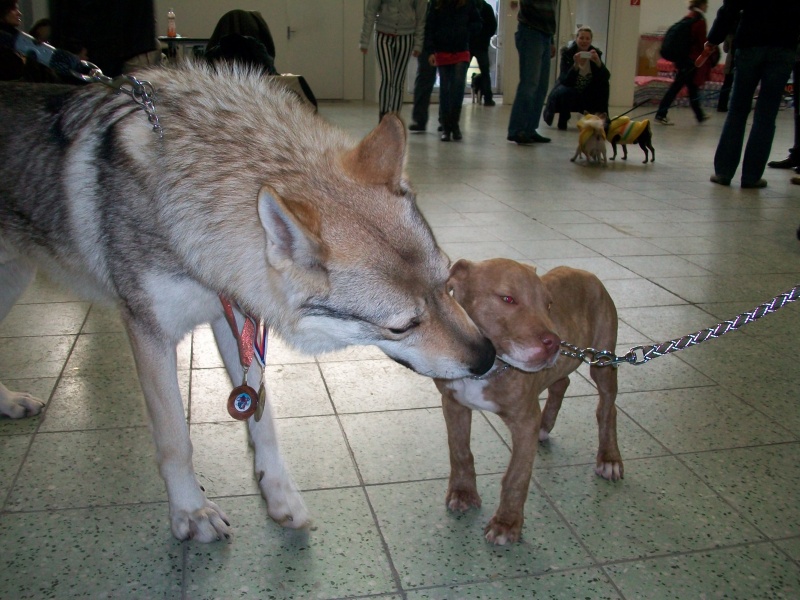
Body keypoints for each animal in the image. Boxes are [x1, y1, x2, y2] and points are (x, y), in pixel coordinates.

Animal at [434, 258, 620, 544]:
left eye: (548, 304)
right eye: (508, 298)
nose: (554, 343)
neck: (488, 368)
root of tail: (586, 273)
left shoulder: (524, 422)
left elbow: (516, 476)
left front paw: (506, 524)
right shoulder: (454, 404)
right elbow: (459, 451)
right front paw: (463, 493)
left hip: (603, 361)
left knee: (607, 408)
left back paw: (609, 458)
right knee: (561, 384)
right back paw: (545, 426)